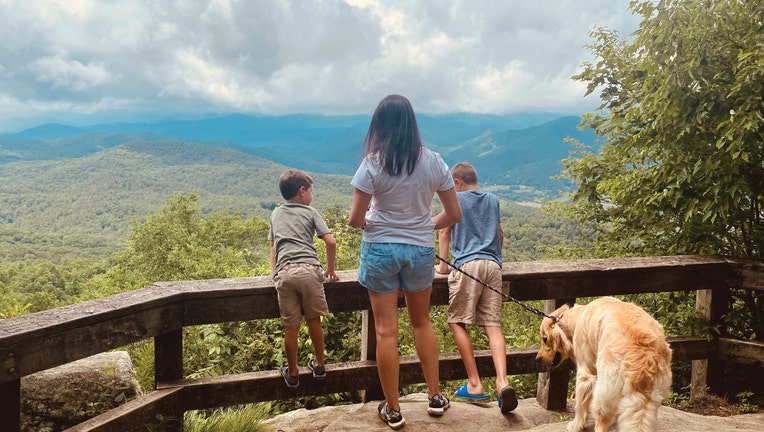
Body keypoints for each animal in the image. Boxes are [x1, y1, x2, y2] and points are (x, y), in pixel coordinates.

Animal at [536, 296, 672, 432]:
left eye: (545, 339)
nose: (537, 359)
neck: (576, 318)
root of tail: (644, 359)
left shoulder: (585, 374)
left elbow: (580, 404)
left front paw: (576, 425)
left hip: (604, 390)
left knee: (601, 419)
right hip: (650, 399)